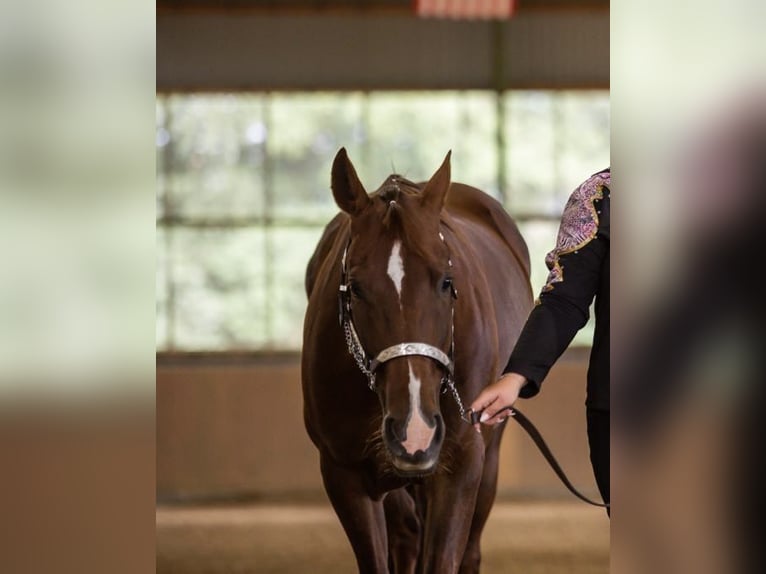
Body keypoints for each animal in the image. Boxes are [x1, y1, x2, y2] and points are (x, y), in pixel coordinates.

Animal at [302, 148, 532, 573]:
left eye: (446, 281)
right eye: (355, 287)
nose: (416, 431)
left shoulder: (460, 467)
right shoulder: (344, 474)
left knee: (468, 549)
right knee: (407, 533)